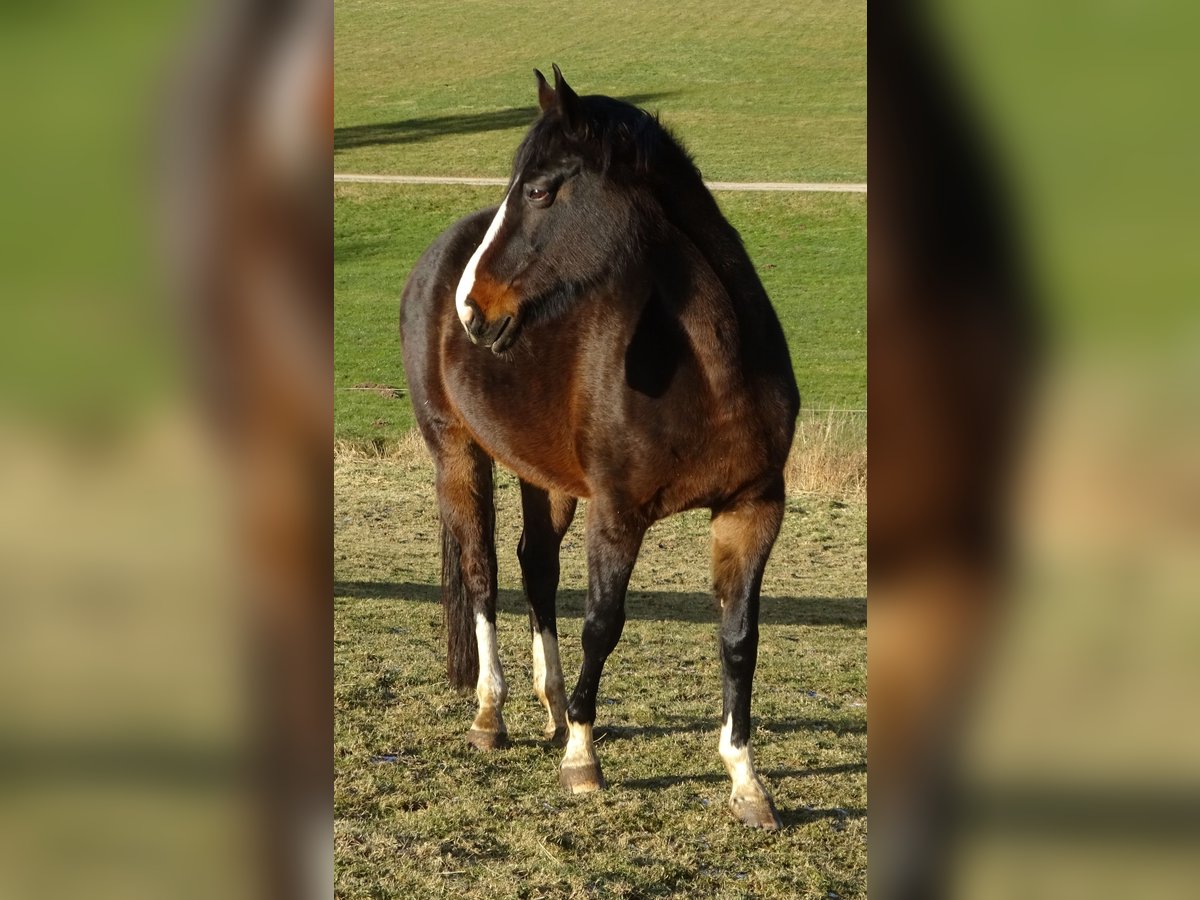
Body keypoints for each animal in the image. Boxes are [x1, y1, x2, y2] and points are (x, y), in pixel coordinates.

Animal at [398, 66, 801, 835]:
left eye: (539, 190)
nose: (472, 309)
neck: (710, 371)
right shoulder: (617, 513)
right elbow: (603, 624)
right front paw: (583, 760)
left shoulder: (754, 509)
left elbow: (740, 639)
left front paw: (746, 781)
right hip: (457, 454)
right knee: (483, 572)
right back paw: (493, 715)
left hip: (546, 476)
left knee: (535, 567)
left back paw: (553, 706)